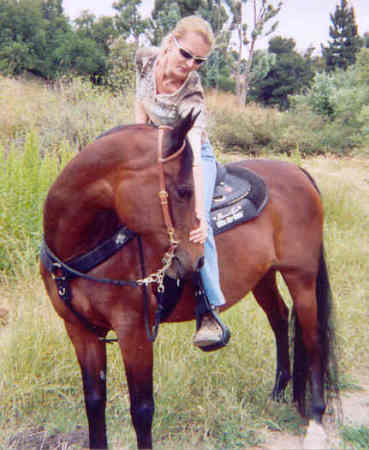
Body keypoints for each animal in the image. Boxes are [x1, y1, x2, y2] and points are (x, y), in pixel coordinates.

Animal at [39, 110, 336, 448]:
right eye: (182, 190)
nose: (197, 259)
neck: (85, 247)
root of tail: (297, 172)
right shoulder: (80, 331)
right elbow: (93, 401)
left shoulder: (134, 333)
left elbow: (142, 409)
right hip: (263, 277)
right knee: (280, 319)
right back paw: (277, 392)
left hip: (301, 277)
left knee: (313, 338)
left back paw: (315, 418)